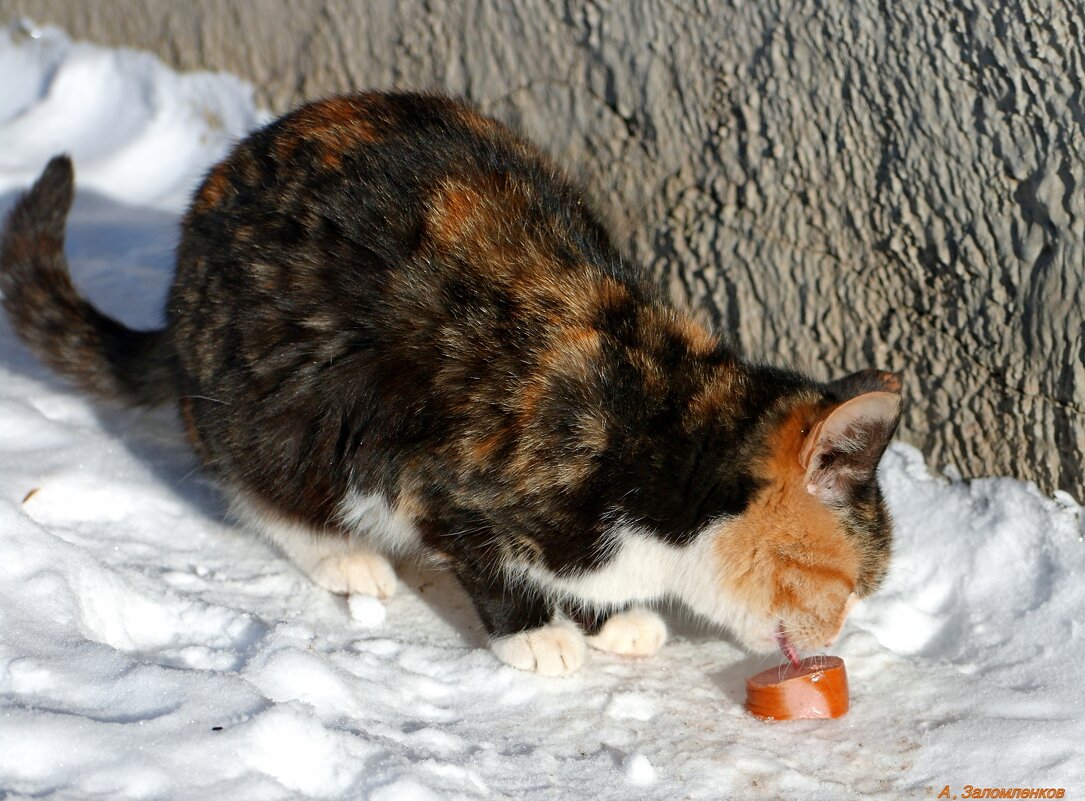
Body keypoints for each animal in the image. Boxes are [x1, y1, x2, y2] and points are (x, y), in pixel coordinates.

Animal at [0, 90, 898, 672]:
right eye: (848, 583)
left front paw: (614, 619)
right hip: (276, 407)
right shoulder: (439, 465)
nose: (839, 636)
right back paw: (343, 555)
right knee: (257, 482)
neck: (658, 432)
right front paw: (537, 633)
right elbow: (480, 551)